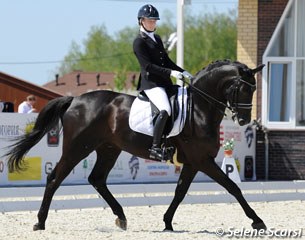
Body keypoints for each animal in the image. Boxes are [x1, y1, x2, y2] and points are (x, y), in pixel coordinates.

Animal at [5, 60, 266, 232]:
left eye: (253, 88)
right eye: (244, 88)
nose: (244, 120)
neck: (199, 108)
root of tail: (75, 100)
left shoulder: (193, 162)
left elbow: (180, 192)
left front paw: (167, 222)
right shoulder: (202, 160)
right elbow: (233, 187)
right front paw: (257, 220)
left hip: (108, 149)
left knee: (97, 179)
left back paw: (121, 217)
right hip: (77, 148)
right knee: (54, 178)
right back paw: (40, 222)